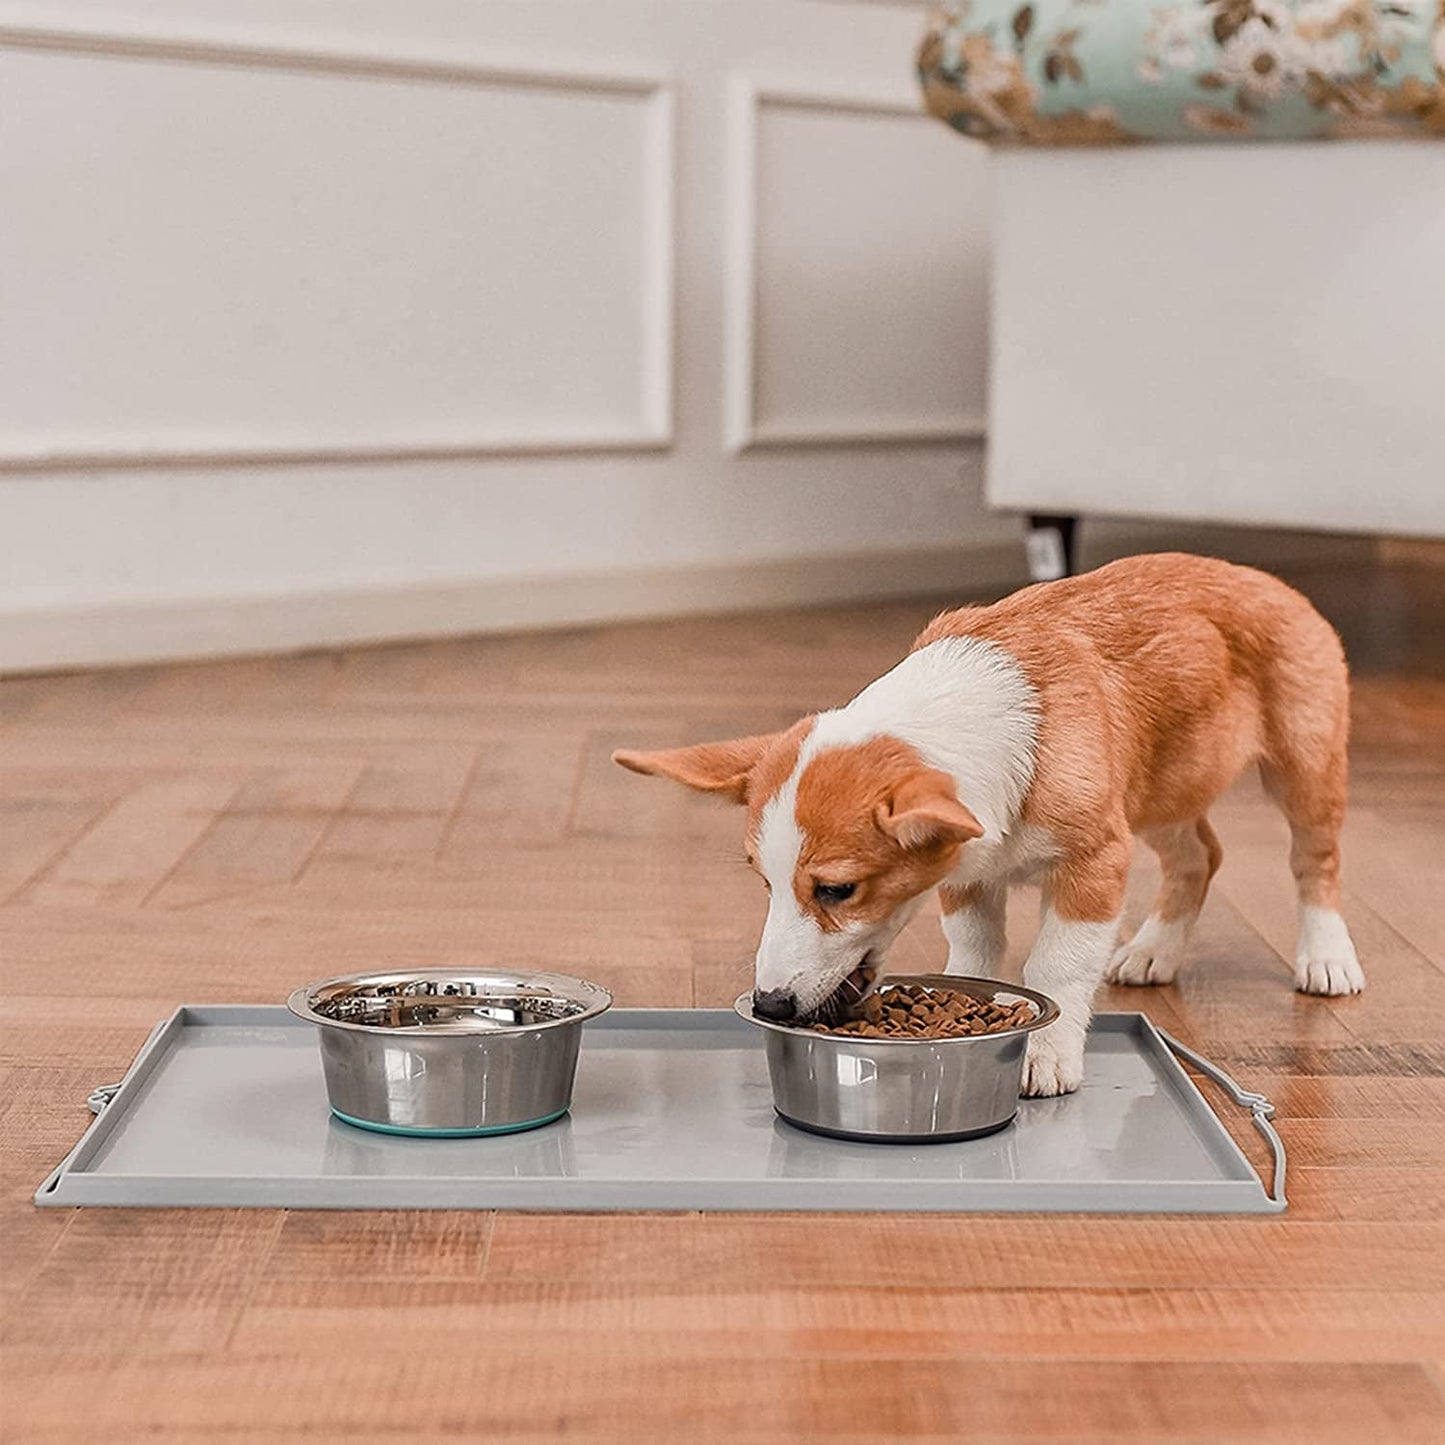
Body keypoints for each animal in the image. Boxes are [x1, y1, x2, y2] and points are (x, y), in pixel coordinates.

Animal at [615, 554, 1358, 1092]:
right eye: (764, 884)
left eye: (837, 890)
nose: (770, 1006)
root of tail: (1262, 577)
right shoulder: (965, 874)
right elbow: (973, 951)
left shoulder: (1097, 859)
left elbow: (1057, 963)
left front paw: (1047, 1055)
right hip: (1164, 788)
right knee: (1199, 854)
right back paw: (1156, 949)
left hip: (1302, 765)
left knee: (1314, 860)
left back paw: (1326, 956)